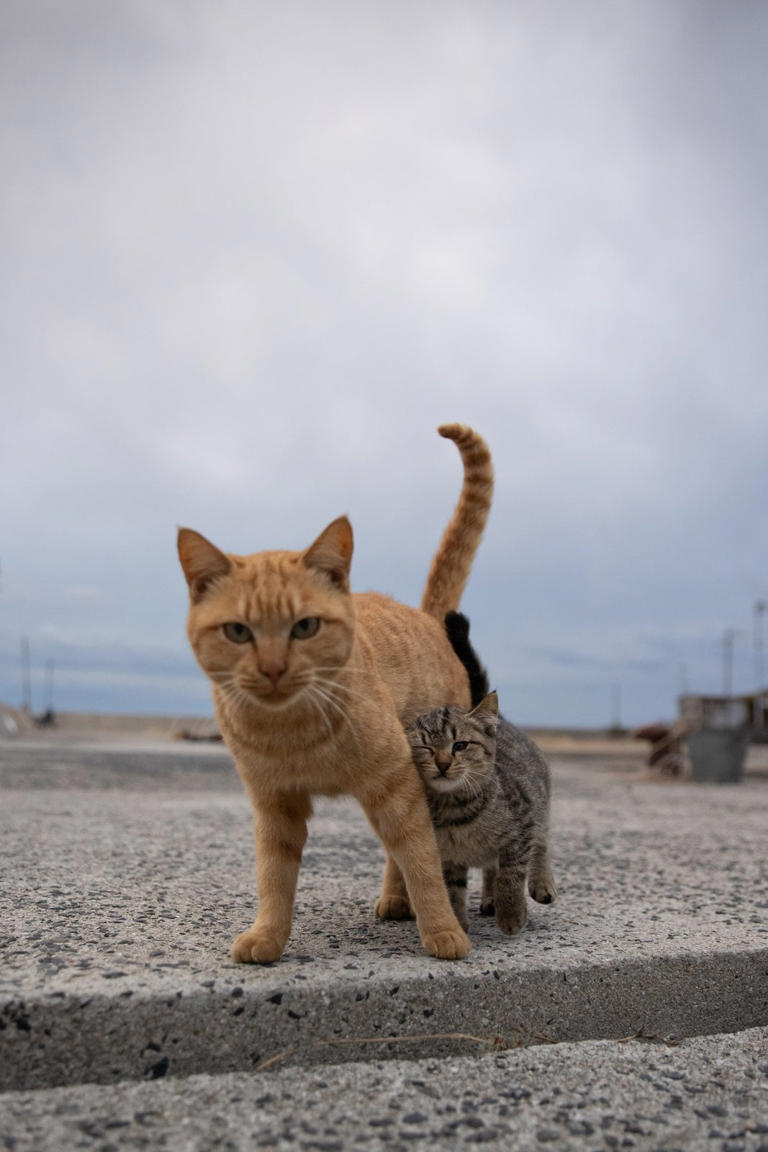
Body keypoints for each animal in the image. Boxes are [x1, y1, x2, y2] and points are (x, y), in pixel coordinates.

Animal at [178, 423, 495, 963]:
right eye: (238, 632)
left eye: (305, 626)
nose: (273, 668)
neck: (293, 730)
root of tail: (425, 616)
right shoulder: (274, 805)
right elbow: (273, 877)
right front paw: (268, 935)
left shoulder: (397, 787)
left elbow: (422, 861)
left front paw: (443, 931)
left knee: (403, 850)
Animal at [407, 612, 559, 935]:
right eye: (426, 748)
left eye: (460, 745)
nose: (442, 763)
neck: (455, 809)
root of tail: (501, 720)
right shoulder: (447, 857)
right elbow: (453, 890)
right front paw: (458, 923)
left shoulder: (522, 826)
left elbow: (511, 875)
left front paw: (511, 915)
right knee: (491, 867)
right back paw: (489, 898)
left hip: (540, 805)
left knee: (541, 845)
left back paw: (541, 884)